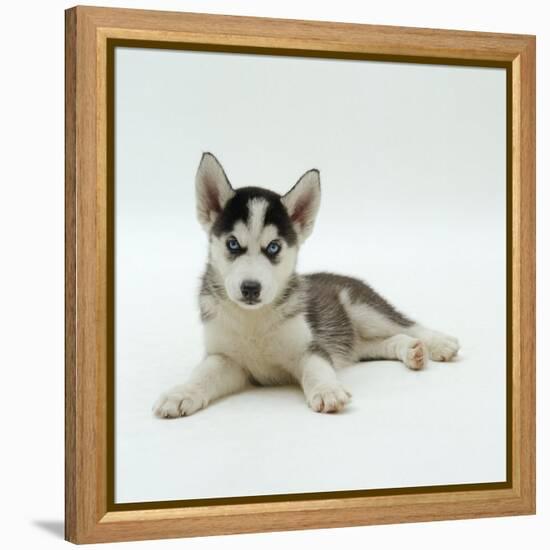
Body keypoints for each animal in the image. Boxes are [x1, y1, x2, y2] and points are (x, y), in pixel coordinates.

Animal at [152, 153, 462, 416]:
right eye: (232, 244)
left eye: (273, 247)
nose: (251, 288)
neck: (254, 320)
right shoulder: (226, 359)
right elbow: (203, 374)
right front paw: (181, 393)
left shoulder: (310, 348)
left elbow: (316, 369)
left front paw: (327, 390)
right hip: (355, 342)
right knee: (384, 341)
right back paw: (410, 351)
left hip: (363, 309)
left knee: (407, 325)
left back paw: (438, 343)